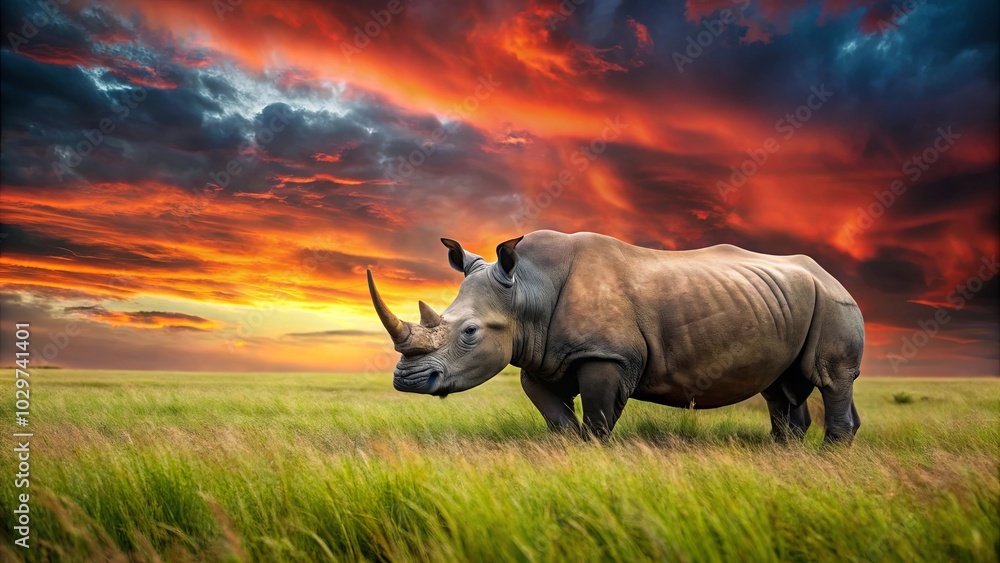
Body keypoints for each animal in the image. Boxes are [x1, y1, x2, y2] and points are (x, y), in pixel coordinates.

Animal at [367, 230, 864, 443]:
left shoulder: (608, 356)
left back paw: (828, 455)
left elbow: (599, 420)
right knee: (781, 386)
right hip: (787, 302)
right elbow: (557, 417)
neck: (526, 290)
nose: (406, 380)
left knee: (832, 377)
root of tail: (832, 276)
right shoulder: (538, 355)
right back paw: (784, 452)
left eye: (469, 332)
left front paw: (594, 454)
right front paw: (566, 449)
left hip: (834, 300)